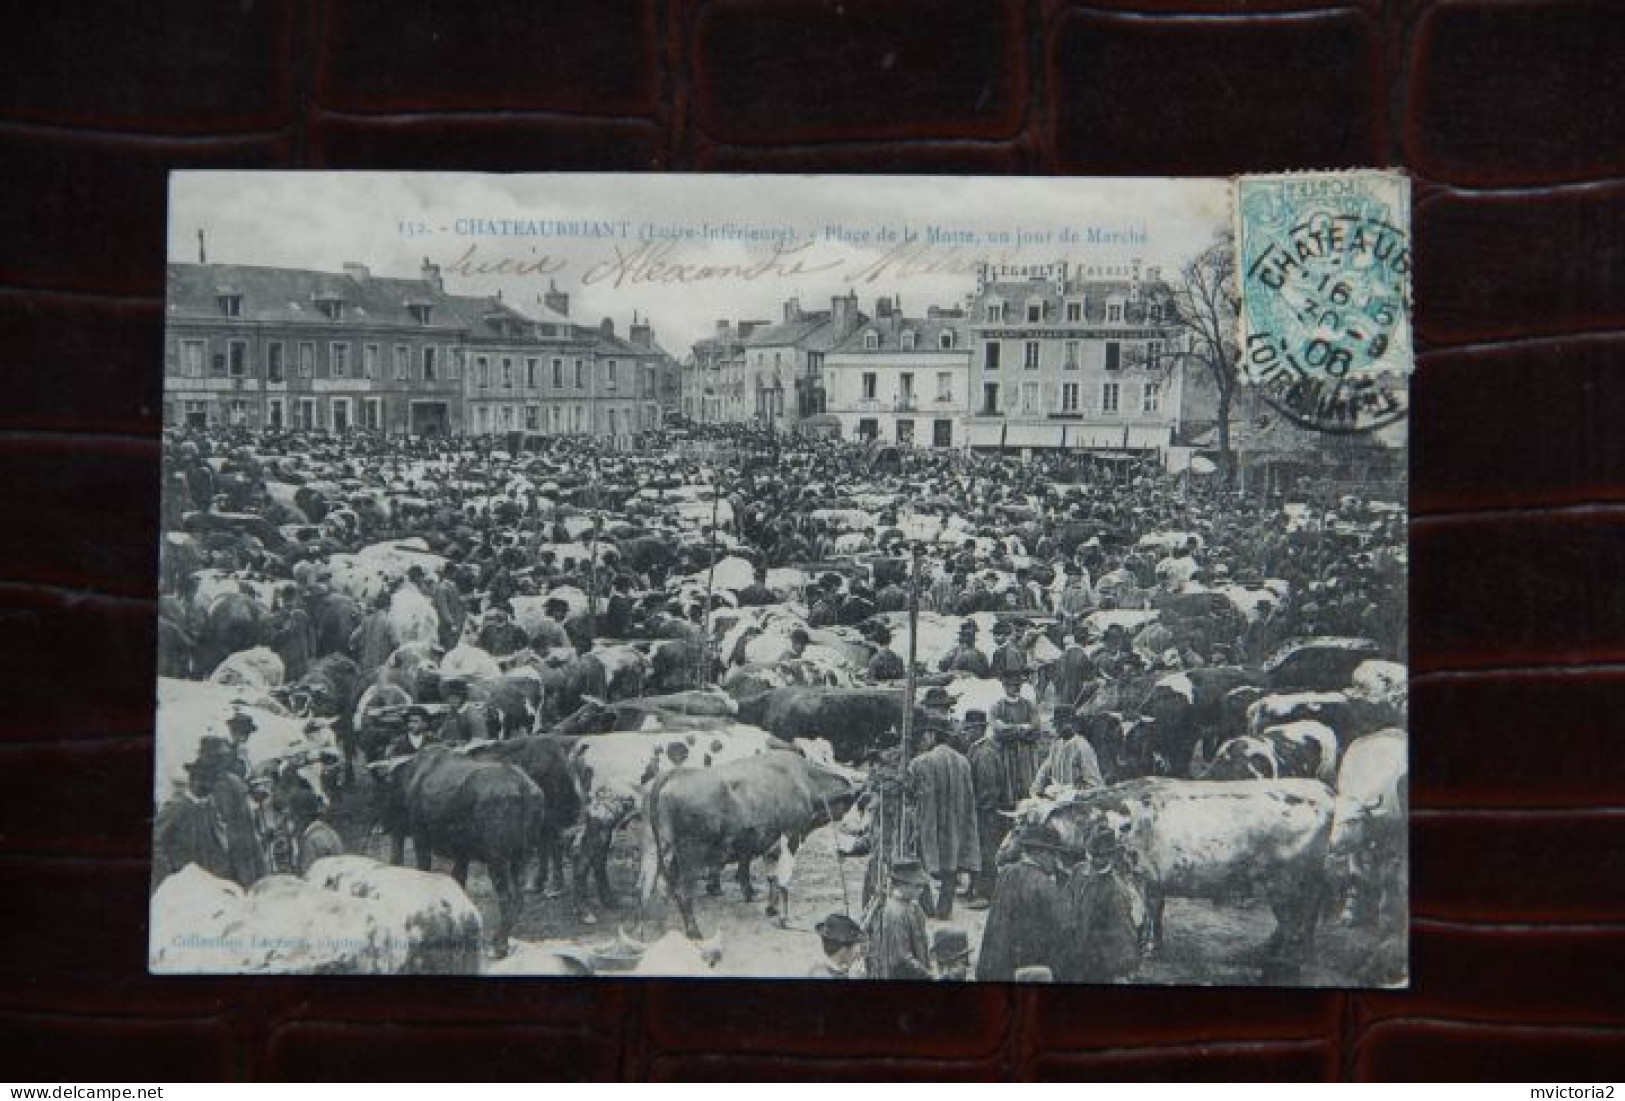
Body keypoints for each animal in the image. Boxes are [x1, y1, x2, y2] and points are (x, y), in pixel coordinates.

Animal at [640, 750, 864, 941]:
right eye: (856, 803)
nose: (856, 830)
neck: (805, 782)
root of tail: (675, 773)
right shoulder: (790, 837)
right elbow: (783, 880)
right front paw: (784, 918)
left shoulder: (768, 844)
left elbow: (770, 877)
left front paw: (770, 908)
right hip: (692, 854)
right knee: (682, 892)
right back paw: (694, 932)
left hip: (662, 851)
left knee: (660, 886)